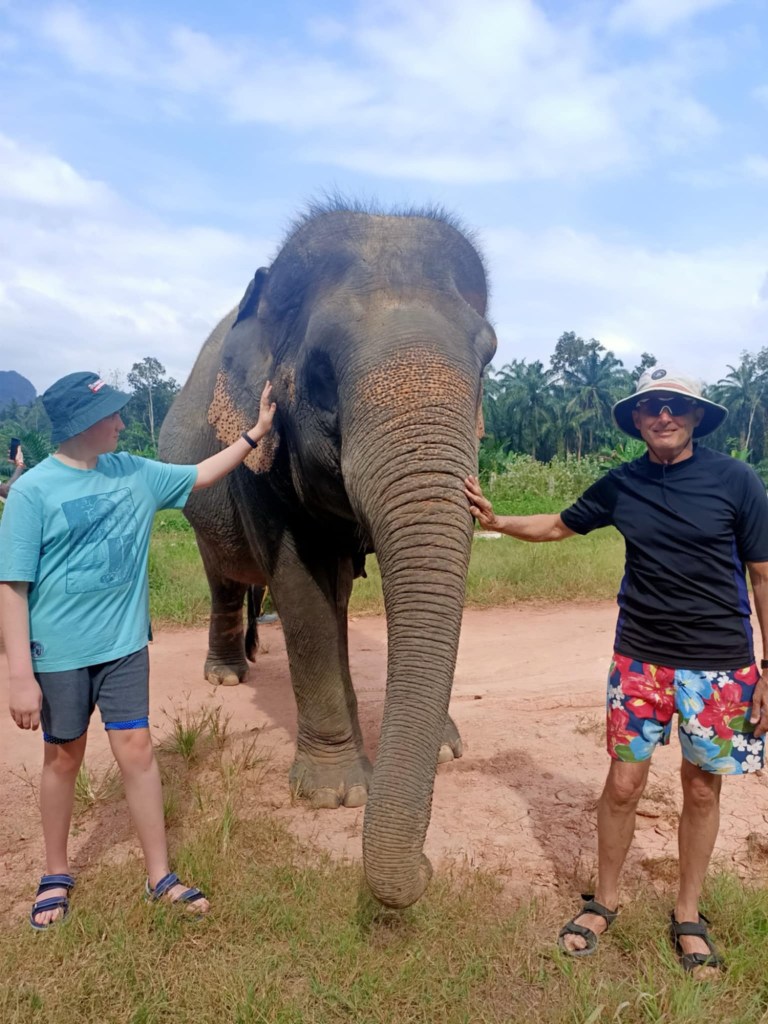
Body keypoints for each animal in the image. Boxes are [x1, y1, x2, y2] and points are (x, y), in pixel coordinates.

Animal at [158, 201, 497, 908]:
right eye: (318, 374)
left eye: (489, 360)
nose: (430, 868)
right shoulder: (258, 462)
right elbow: (302, 585)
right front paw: (335, 795)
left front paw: (445, 750)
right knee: (226, 578)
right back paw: (227, 675)